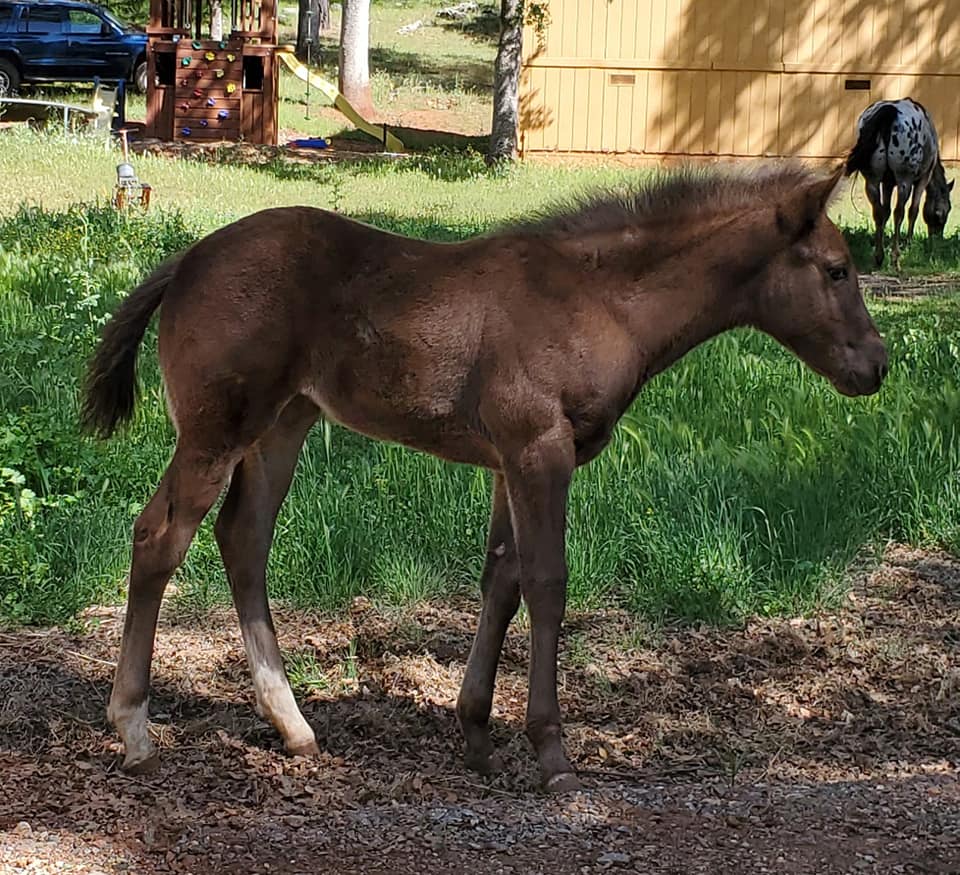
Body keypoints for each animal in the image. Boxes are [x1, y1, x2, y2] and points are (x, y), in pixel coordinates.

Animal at [82, 163, 884, 792]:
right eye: (837, 269)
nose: (875, 367)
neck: (598, 299)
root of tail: (187, 260)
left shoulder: (507, 462)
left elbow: (500, 578)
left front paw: (475, 736)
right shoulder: (539, 451)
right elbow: (547, 583)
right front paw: (552, 754)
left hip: (283, 426)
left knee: (243, 538)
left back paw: (293, 724)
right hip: (216, 432)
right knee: (159, 537)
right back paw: (136, 729)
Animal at [848, 96, 952, 266]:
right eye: (941, 212)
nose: (936, 238)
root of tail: (889, 111)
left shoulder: (887, 183)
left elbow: (885, 211)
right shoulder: (923, 179)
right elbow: (913, 211)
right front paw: (908, 243)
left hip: (872, 180)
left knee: (878, 211)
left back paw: (879, 255)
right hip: (905, 180)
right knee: (900, 212)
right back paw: (895, 256)